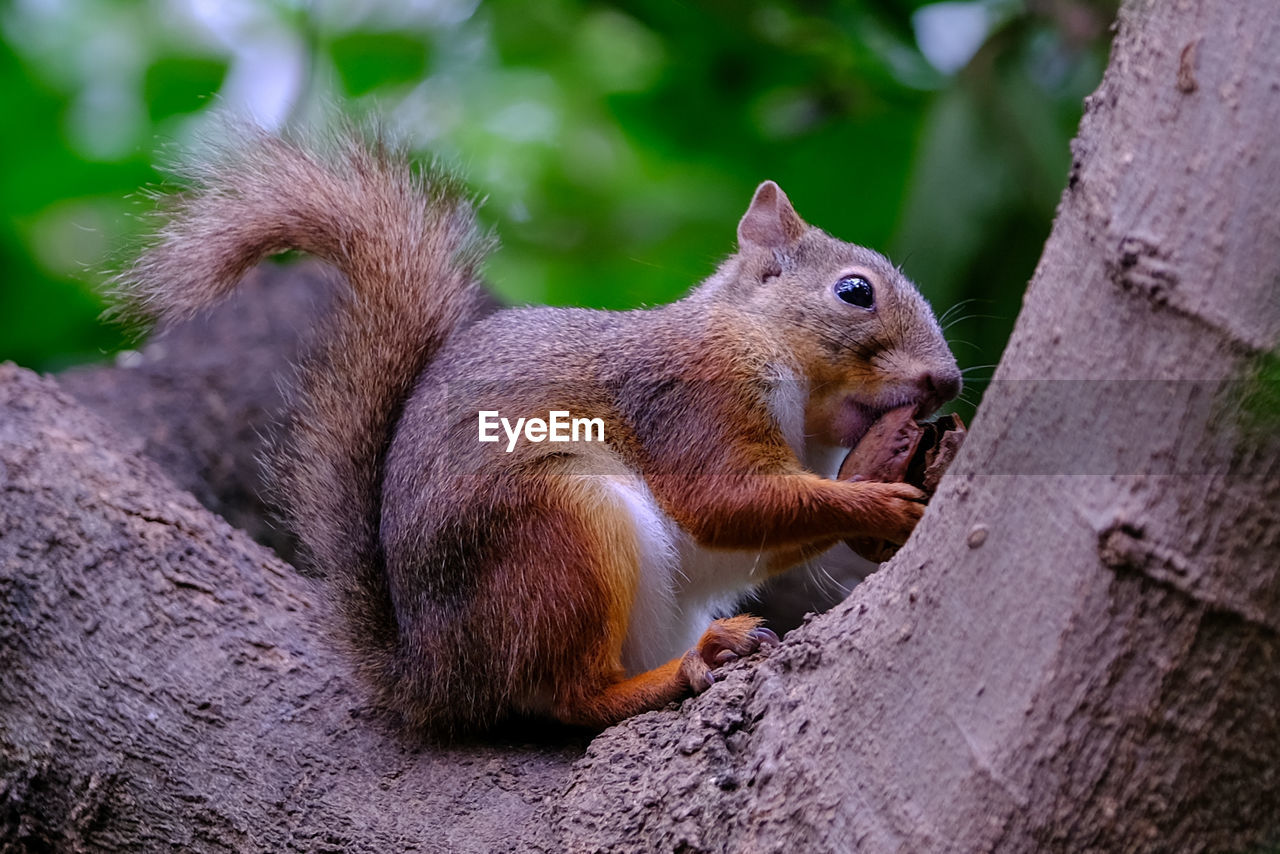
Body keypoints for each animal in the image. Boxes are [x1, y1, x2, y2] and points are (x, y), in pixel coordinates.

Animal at [120, 125, 962, 737]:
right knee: (567, 696)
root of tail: (432, 673)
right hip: (562, 525)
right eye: (854, 292)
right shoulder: (694, 393)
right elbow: (720, 499)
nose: (947, 383)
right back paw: (681, 670)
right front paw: (876, 495)